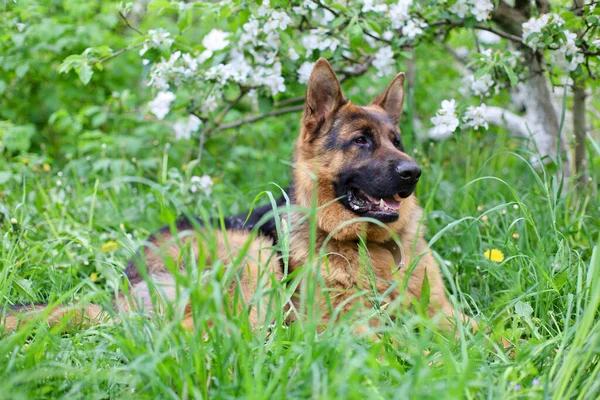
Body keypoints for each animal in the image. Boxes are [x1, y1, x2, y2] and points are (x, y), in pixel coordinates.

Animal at [4, 58, 474, 334]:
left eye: (396, 141)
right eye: (360, 141)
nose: (413, 173)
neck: (372, 246)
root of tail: (119, 296)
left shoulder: (445, 313)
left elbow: (484, 332)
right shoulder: (344, 326)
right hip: (252, 255)